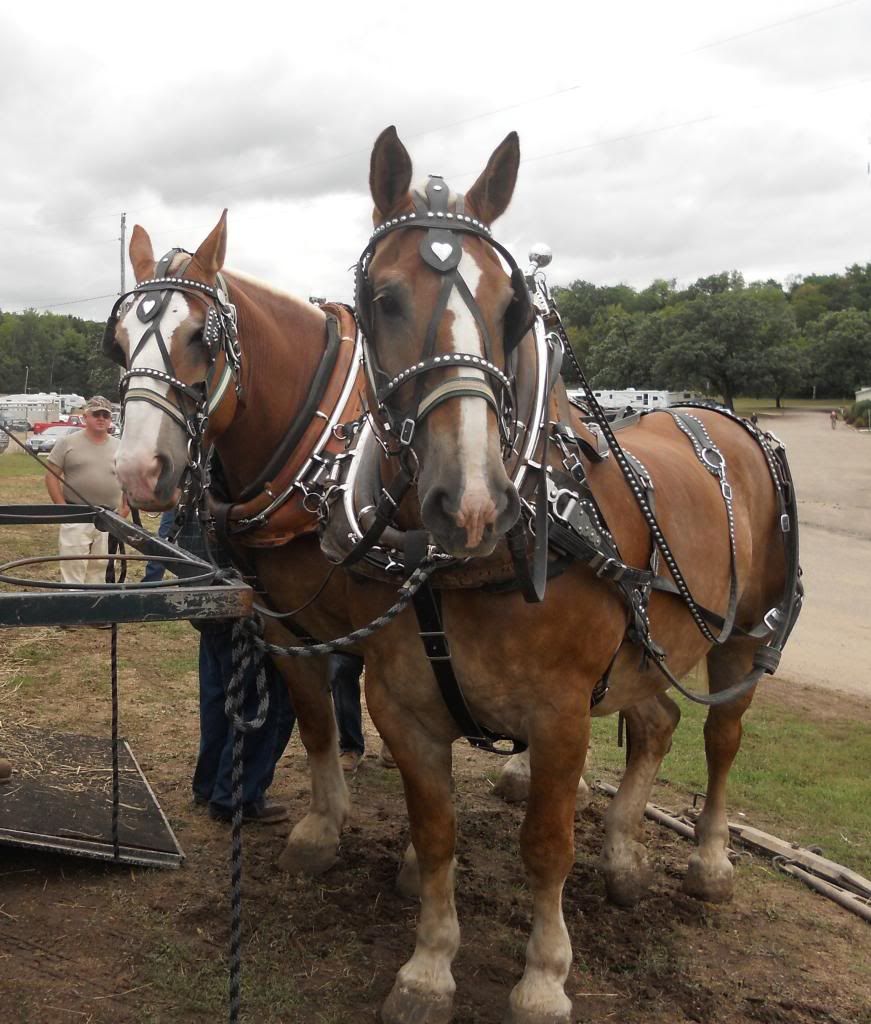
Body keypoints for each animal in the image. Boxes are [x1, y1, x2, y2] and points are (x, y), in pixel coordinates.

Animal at [321, 128, 798, 1024]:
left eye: (513, 309)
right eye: (381, 299)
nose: (471, 500)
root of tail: (718, 416)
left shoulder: (561, 713)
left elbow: (544, 845)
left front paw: (543, 977)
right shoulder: (400, 706)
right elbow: (434, 836)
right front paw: (428, 968)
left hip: (741, 635)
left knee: (719, 736)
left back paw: (708, 862)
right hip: (648, 644)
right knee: (657, 725)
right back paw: (623, 859)